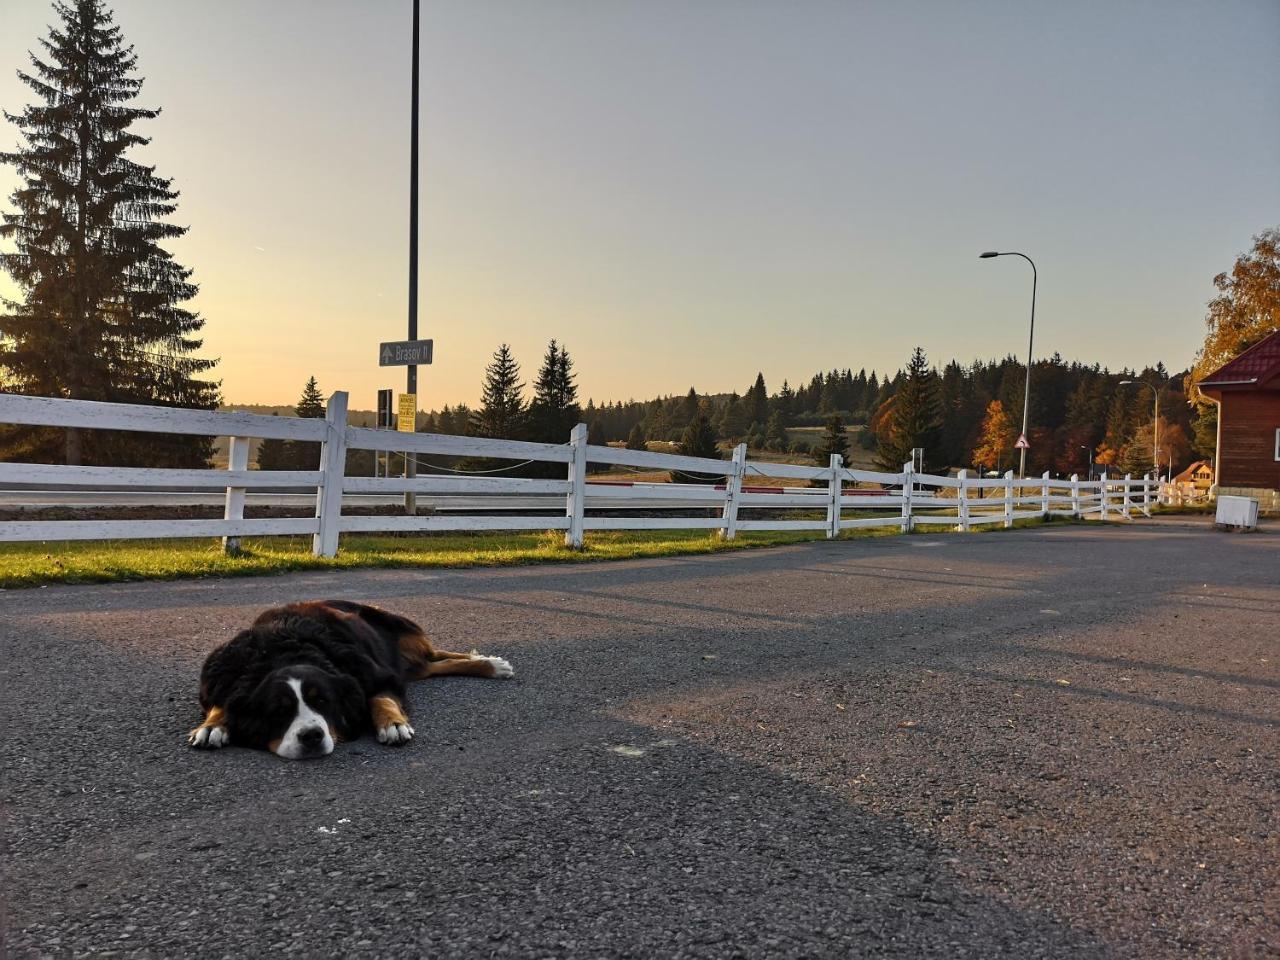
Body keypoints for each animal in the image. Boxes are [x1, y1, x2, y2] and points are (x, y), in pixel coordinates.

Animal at [186, 599, 514, 762]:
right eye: (279, 711)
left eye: (323, 701)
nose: (311, 736)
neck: (283, 650)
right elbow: (221, 703)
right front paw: (212, 725)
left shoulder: (379, 674)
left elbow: (380, 698)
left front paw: (393, 724)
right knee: (434, 663)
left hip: (399, 640)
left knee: (434, 656)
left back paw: (490, 664)